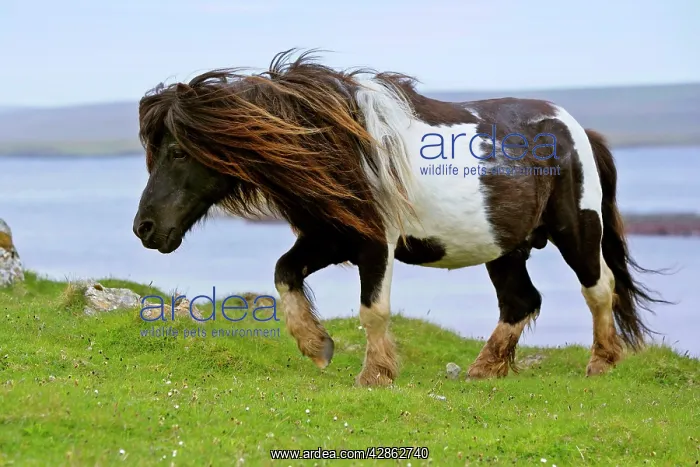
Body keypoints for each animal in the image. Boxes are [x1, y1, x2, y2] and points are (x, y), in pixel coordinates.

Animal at [132, 49, 666, 386]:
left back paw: (601, 364)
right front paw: (317, 346)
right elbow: (284, 273)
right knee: (521, 302)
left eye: (177, 151)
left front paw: (375, 374)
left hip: (576, 229)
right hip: (505, 247)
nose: (144, 229)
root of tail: (577, 130)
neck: (340, 144)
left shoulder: (375, 244)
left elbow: (373, 309)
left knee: (599, 288)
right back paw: (483, 370)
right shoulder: (329, 238)